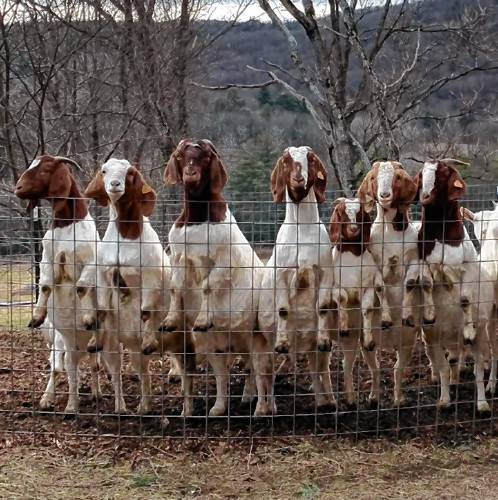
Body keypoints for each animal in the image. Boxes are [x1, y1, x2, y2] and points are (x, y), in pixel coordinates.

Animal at [14, 154, 100, 412]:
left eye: (45, 170)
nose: (17, 188)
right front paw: (36, 316)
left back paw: (92, 393)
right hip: (64, 340)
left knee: (92, 363)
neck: (67, 226)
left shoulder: (90, 260)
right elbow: (45, 285)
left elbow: (82, 286)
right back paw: (61, 402)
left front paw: (87, 317)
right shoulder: (48, 258)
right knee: (64, 367)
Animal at [161, 139, 274, 416]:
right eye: (180, 156)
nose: (191, 173)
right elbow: (176, 287)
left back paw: (259, 407)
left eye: (205, 156)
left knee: (259, 370)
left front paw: (203, 317)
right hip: (218, 341)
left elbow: (208, 285)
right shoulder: (179, 256)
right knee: (227, 372)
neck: (198, 220)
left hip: (257, 336)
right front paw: (170, 319)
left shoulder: (224, 259)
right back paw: (222, 406)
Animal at [256, 146, 334, 410]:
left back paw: (324, 402)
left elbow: (322, 307)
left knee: (318, 370)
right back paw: (265, 409)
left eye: (310, 159)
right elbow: (283, 309)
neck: (302, 231)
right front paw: (283, 343)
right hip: (263, 340)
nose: (298, 179)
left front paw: (324, 338)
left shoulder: (324, 270)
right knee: (265, 374)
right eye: (286, 161)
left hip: (311, 347)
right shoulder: (283, 272)